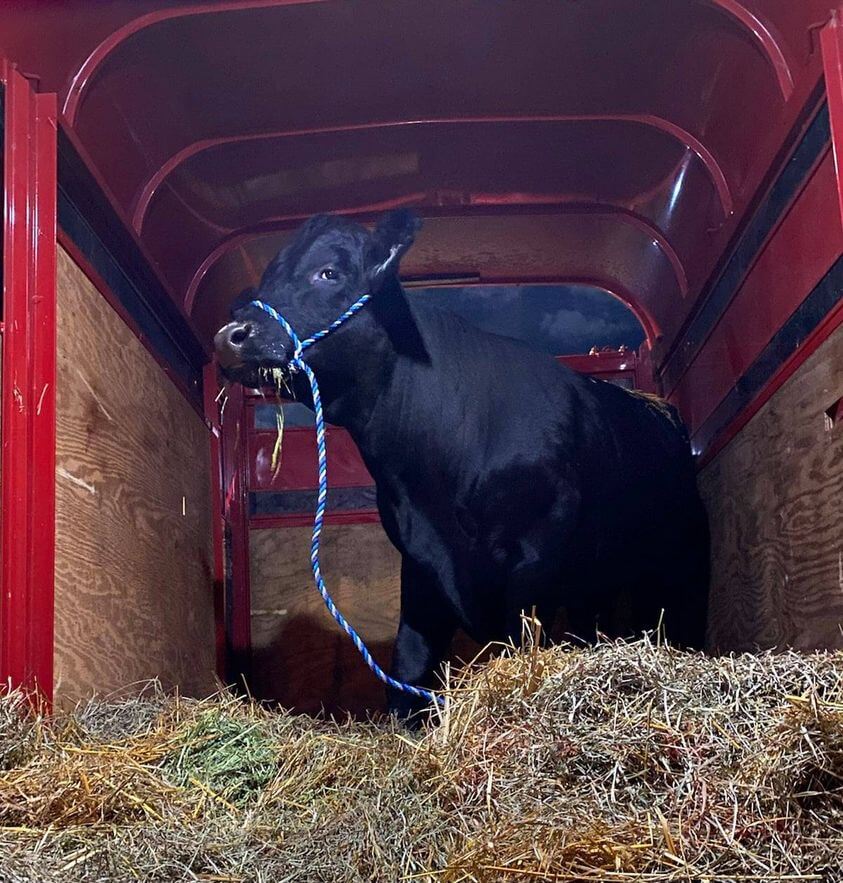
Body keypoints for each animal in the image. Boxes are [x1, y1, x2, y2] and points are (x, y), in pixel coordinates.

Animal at [214, 209, 710, 720]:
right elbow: (410, 664)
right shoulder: (420, 562)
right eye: (265, 280)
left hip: (681, 558)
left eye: (328, 272)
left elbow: (518, 644)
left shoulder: (534, 561)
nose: (230, 338)